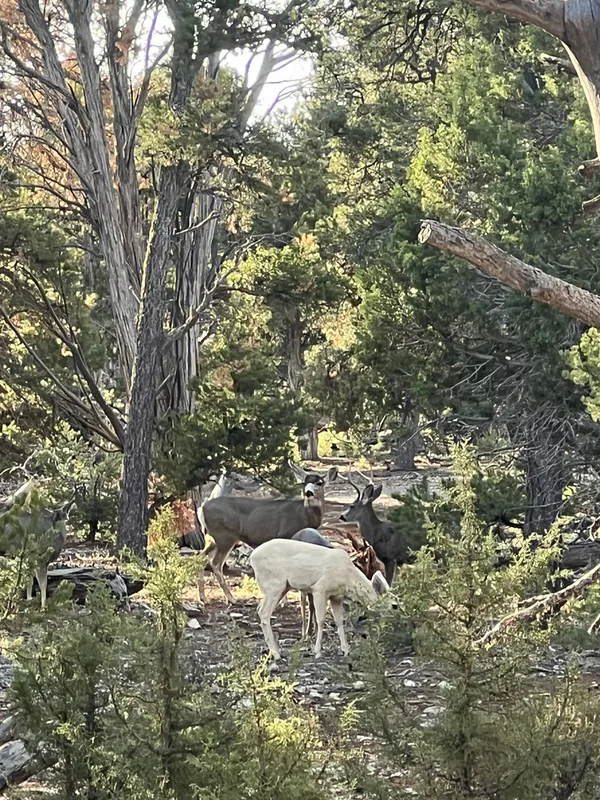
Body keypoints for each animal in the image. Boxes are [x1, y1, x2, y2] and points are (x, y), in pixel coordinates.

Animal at [198, 462, 338, 604]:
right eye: (304, 482)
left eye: (319, 482)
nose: (308, 492)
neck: (303, 514)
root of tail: (202, 508)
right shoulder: (285, 535)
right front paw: (284, 600)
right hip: (224, 536)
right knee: (215, 563)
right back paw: (231, 598)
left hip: (212, 538)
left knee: (201, 557)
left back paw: (204, 598)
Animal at [250, 538, 390, 659]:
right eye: (390, 605)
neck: (347, 578)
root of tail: (252, 558)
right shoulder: (319, 589)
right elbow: (321, 620)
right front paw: (317, 651)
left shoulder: (336, 597)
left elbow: (339, 621)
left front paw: (345, 649)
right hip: (274, 584)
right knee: (264, 612)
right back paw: (276, 653)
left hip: (281, 587)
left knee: (259, 609)